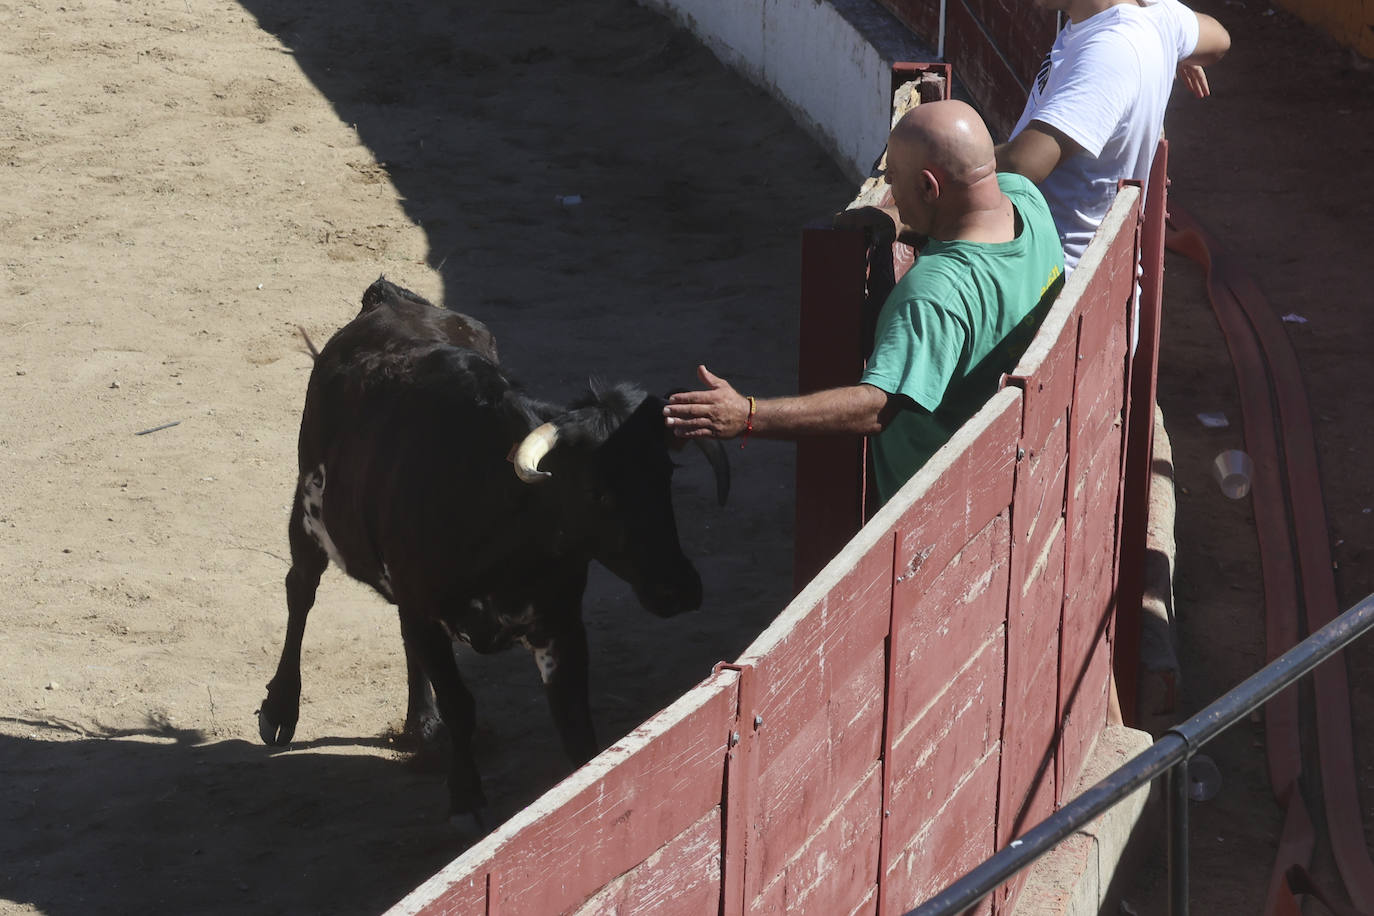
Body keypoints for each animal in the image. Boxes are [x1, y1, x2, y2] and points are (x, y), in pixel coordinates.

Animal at [258, 276, 730, 834]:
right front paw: (466, 799)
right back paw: (280, 710)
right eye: (599, 493)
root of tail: (388, 300)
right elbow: (462, 705)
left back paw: (422, 724)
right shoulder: (428, 607)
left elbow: (575, 720)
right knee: (300, 589)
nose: (680, 590)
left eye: (666, 475)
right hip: (308, 511)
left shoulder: (559, 624)